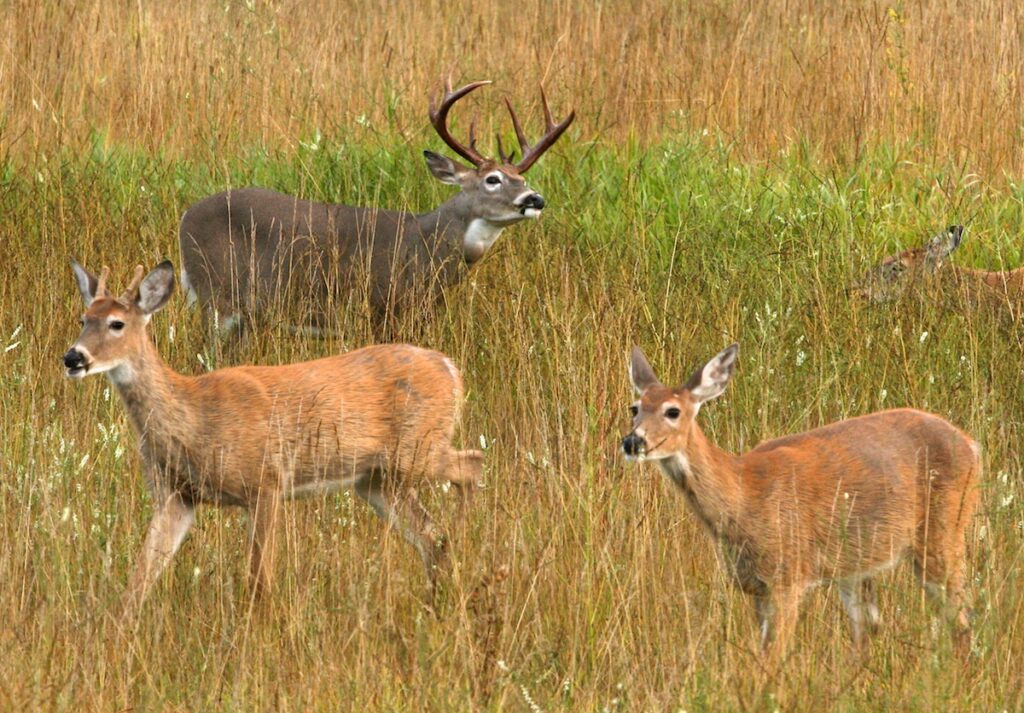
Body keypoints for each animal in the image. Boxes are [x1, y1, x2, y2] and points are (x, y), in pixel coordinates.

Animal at [62, 262, 483, 618]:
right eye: (84, 319)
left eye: (117, 323)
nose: (73, 357)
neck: (195, 418)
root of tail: (450, 368)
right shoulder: (176, 495)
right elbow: (141, 574)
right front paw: (119, 631)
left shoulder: (265, 481)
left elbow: (258, 579)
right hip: (377, 481)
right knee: (431, 536)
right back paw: (437, 596)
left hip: (417, 450)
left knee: (472, 465)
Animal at [178, 79, 577, 342]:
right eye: (493, 179)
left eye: (521, 177)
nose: (535, 199)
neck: (427, 244)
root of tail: (184, 218)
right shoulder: (384, 307)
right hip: (218, 295)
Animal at [618, 344, 978, 663]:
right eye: (635, 408)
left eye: (673, 411)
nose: (633, 441)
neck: (742, 496)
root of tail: (972, 445)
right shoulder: (756, 587)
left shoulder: (788, 576)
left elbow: (771, 660)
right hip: (855, 568)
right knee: (867, 635)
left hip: (944, 530)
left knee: (961, 622)